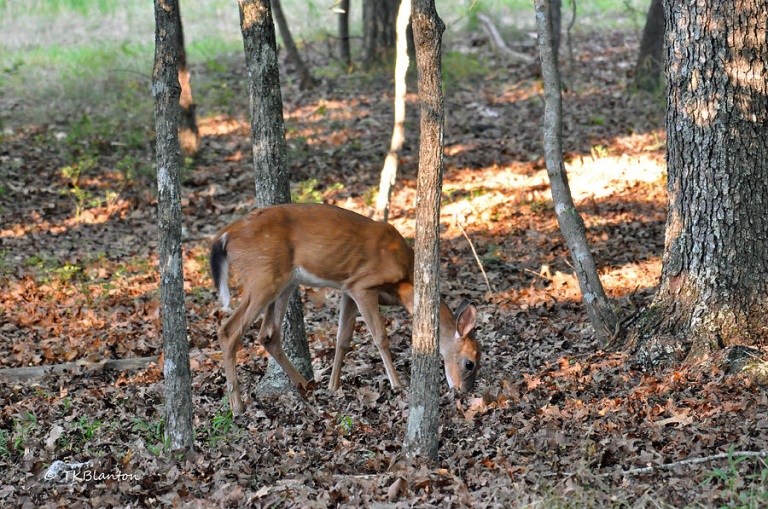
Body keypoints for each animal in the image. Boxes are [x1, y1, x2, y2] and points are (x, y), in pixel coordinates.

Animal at [209, 203, 480, 415]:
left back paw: (306, 386)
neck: (404, 282)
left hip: (283, 282)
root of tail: (224, 235)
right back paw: (237, 406)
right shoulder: (363, 285)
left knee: (268, 334)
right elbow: (380, 336)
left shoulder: (348, 289)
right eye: (470, 363)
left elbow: (343, 338)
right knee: (229, 331)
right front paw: (398, 385)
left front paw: (332, 386)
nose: (463, 392)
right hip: (262, 276)